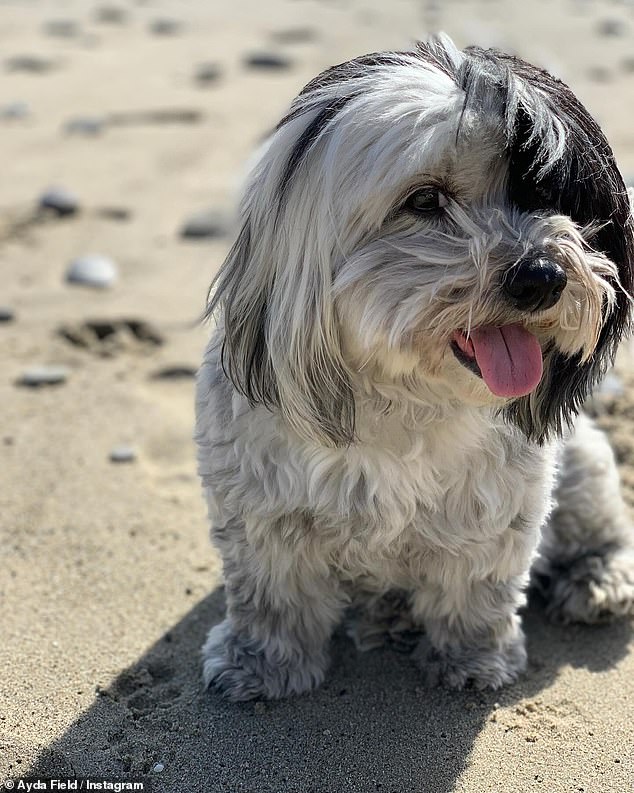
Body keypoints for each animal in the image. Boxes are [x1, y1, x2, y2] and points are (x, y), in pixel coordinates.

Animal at [195, 35, 632, 700]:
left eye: (549, 198)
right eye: (425, 200)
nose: (542, 276)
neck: (401, 394)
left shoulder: (498, 506)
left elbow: (478, 589)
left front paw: (474, 658)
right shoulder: (260, 507)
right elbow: (272, 593)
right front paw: (261, 661)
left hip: (582, 464)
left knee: (602, 528)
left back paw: (597, 578)